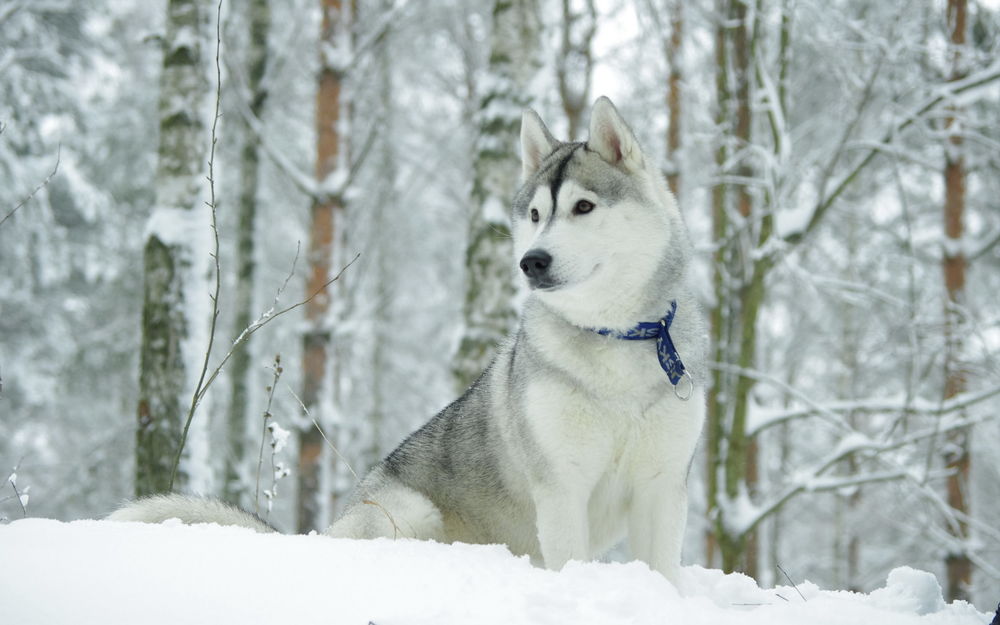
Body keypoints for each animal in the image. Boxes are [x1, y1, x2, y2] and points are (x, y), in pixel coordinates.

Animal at [111, 97, 704, 584]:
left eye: (584, 207)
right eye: (536, 215)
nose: (531, 261)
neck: (616, 339)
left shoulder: (662, 486)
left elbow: (665, 573)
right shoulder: (561, 486)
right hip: (410, 511)